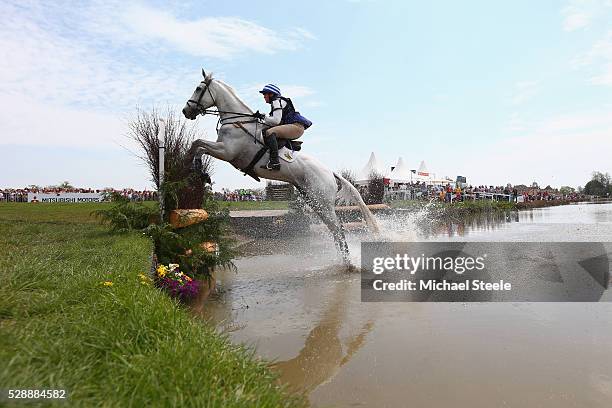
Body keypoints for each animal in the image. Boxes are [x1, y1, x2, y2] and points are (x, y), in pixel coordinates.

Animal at [182, 68, 378, 262]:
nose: (186, 110)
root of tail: (330, 172)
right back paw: (342, 259)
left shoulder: (227, 152)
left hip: (323, 201)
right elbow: (197, 145)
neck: (237, 122)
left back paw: (347, 262)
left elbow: (199, 145)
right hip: (315, 201)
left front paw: (198, 169)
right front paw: (191, 166)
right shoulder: (223, 150)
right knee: (334, 229)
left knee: (338, 228)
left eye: (198, 89)